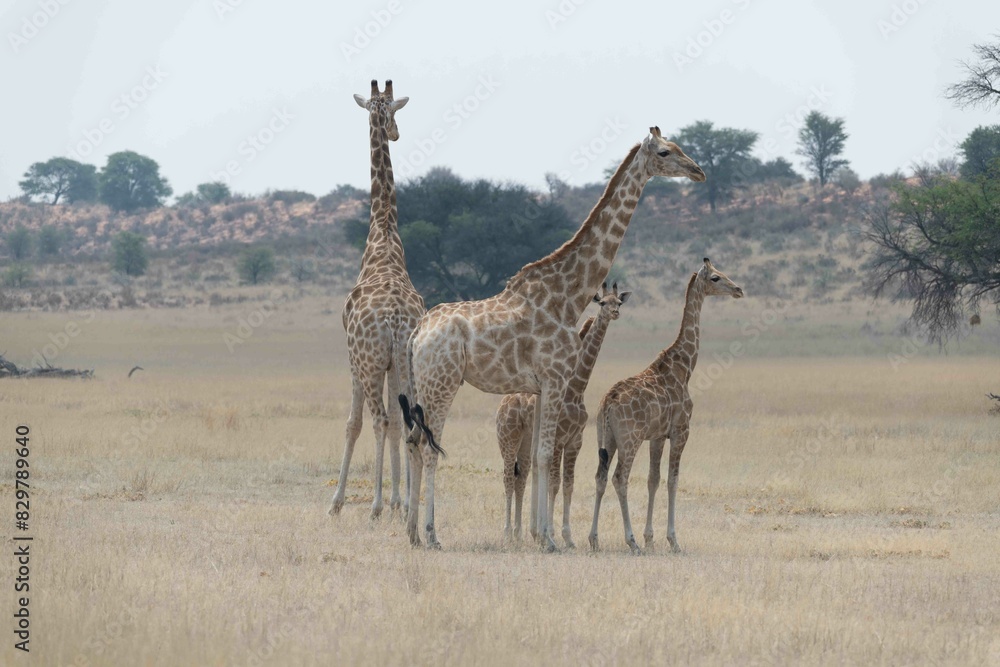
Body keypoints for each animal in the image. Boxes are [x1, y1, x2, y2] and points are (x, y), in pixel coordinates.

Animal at [496, 282, 631, 546]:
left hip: (525, 442)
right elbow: (554, 484)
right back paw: (507, 533)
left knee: (522, 477)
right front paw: (550, 534)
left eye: (619, 302)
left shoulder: (575, 440)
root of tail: (504, 403)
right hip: (508, 437)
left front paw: (567, 537)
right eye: (602, 302)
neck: (576, 388)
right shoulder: (559, 439)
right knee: (507, 477)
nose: (615, 313)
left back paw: (519, 533)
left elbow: (568, 485)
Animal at [588, 258, 743, 555]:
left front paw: (651, 538)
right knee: (619, 478)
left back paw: (594, 539)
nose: (739, 290)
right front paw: (672, 540)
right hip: (630, 439)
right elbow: (673, 479)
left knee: (600, 477)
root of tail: (607, 403)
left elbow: (654, 479)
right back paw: (631, 541)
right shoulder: (681, 430)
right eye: (716, 278)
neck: (685, 367)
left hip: (607, 438)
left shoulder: (657, 436)